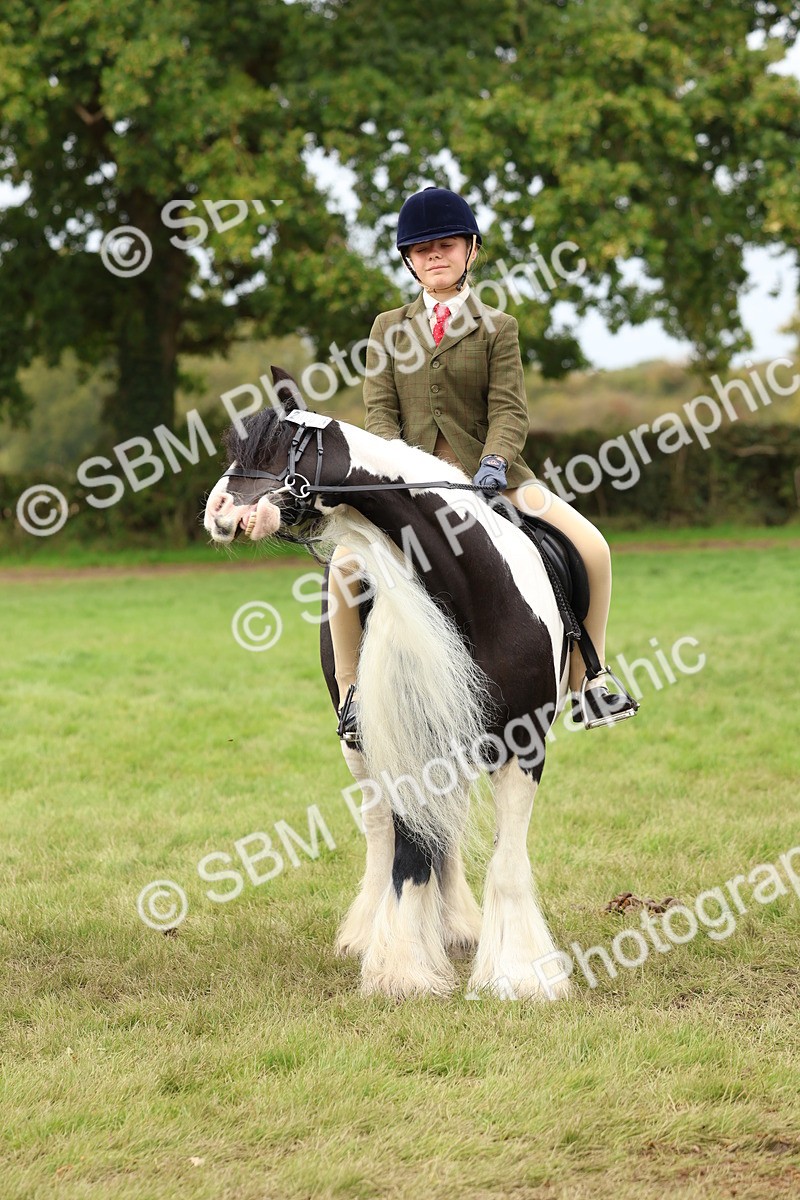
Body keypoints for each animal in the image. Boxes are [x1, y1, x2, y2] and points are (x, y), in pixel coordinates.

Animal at [203, 367, 573, 1001]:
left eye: (280, 447)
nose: (218, 511)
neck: (473, 587)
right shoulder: (407, 738)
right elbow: (408, 853)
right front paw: (401, 968)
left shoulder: (524, 744)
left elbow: (505, 861)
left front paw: (521, 975)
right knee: (384, 832)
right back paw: (375, 931)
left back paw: (459, 930)